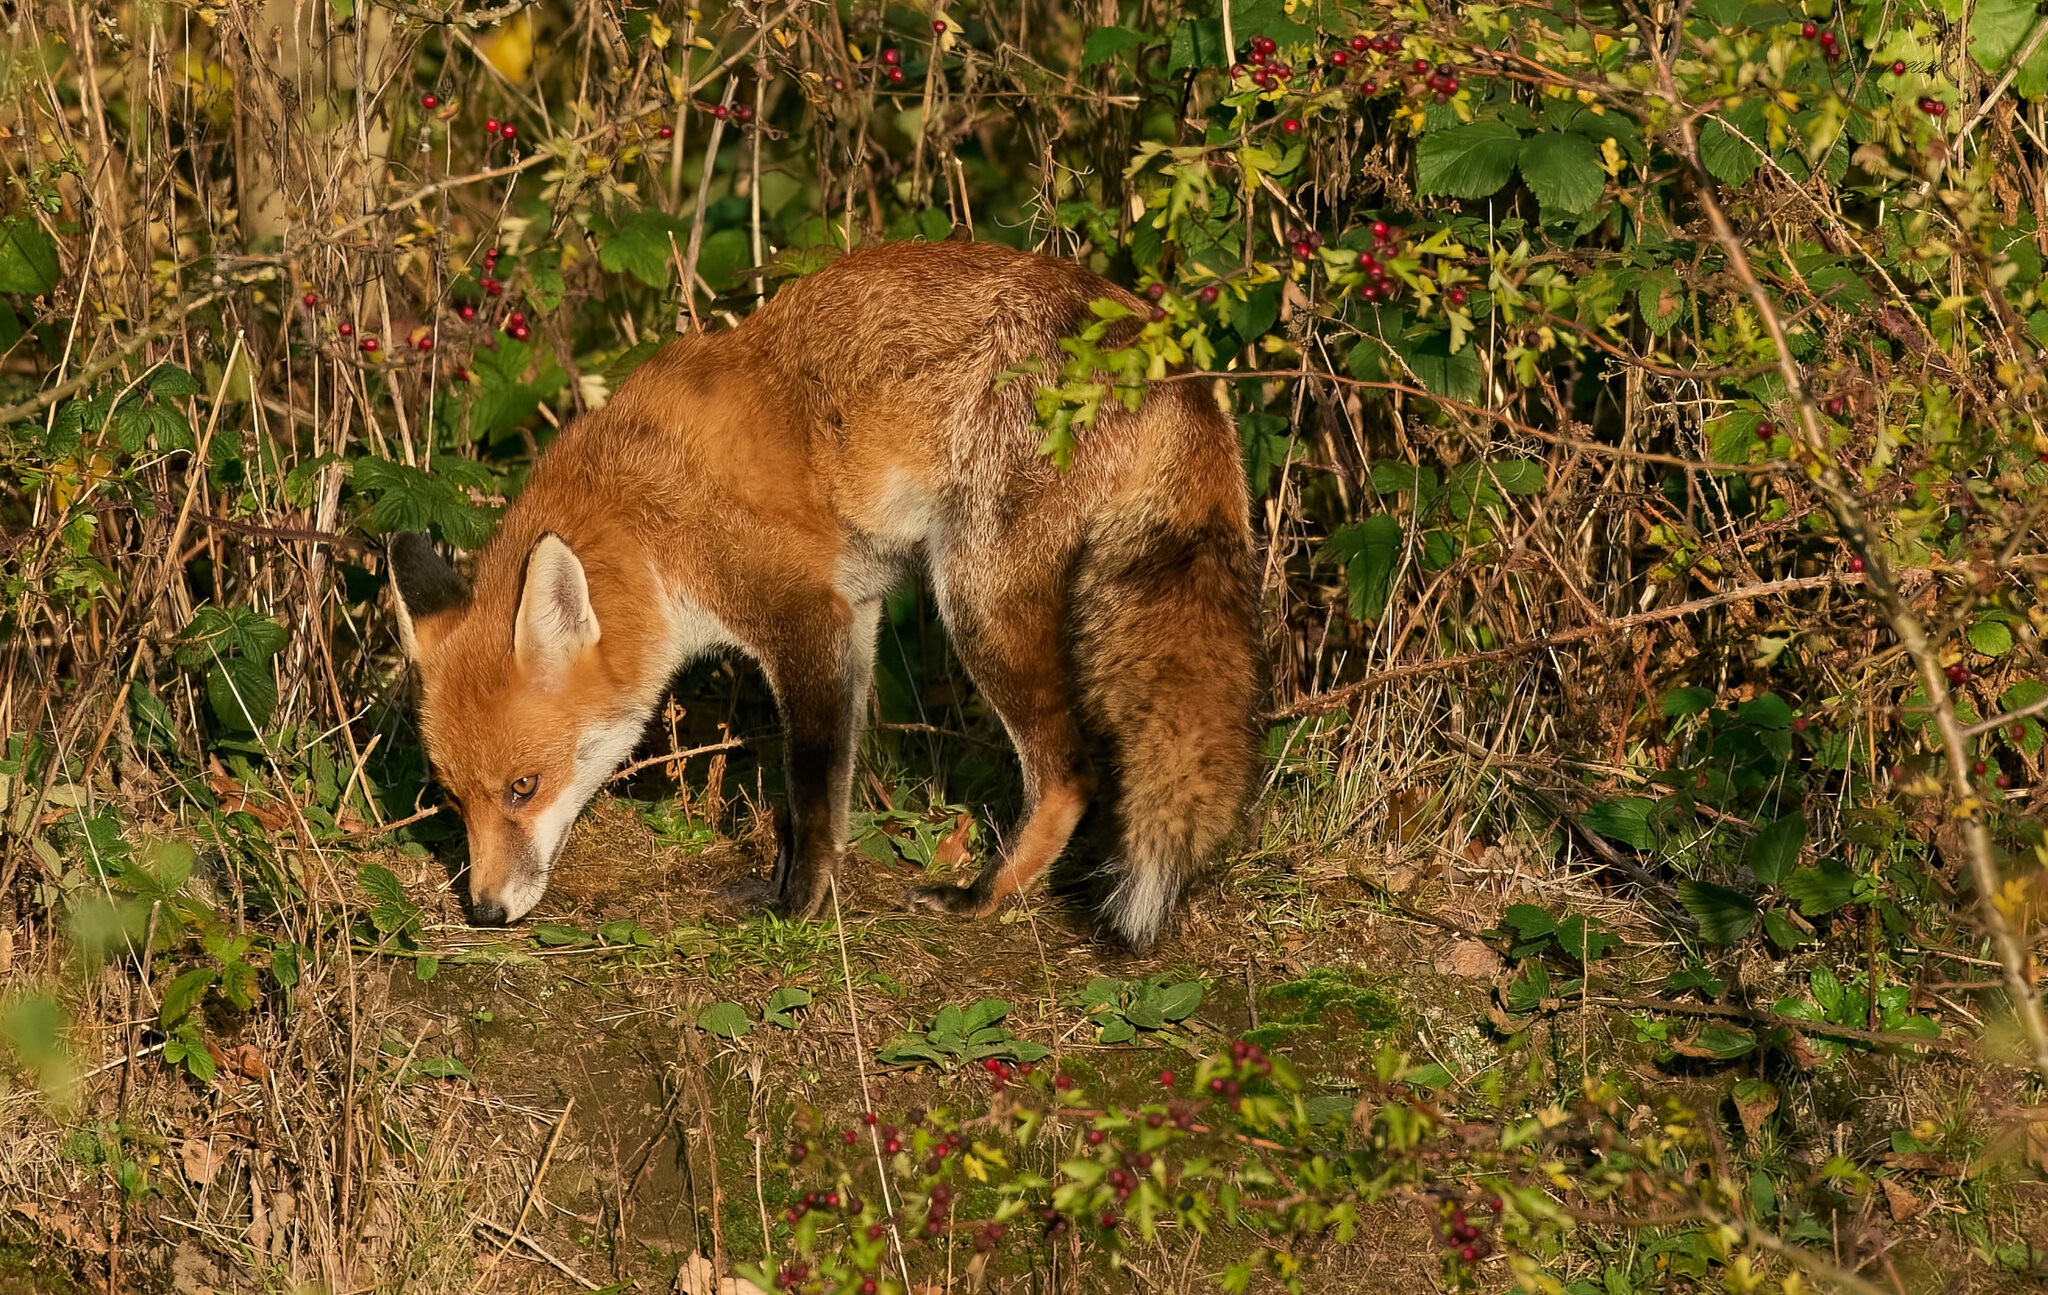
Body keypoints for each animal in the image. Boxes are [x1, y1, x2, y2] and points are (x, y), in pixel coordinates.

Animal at [388, 239, 1260, 949]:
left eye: (523, 787)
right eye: (452, 798)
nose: (485, 911)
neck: (644, 517)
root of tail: (1154, 338)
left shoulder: (802, 612)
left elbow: (808, 784)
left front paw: (796, 905)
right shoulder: (857, 612)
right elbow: (830, 788)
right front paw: (796, 882)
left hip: (977, 600)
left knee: (1070, 770)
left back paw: (982, 898)